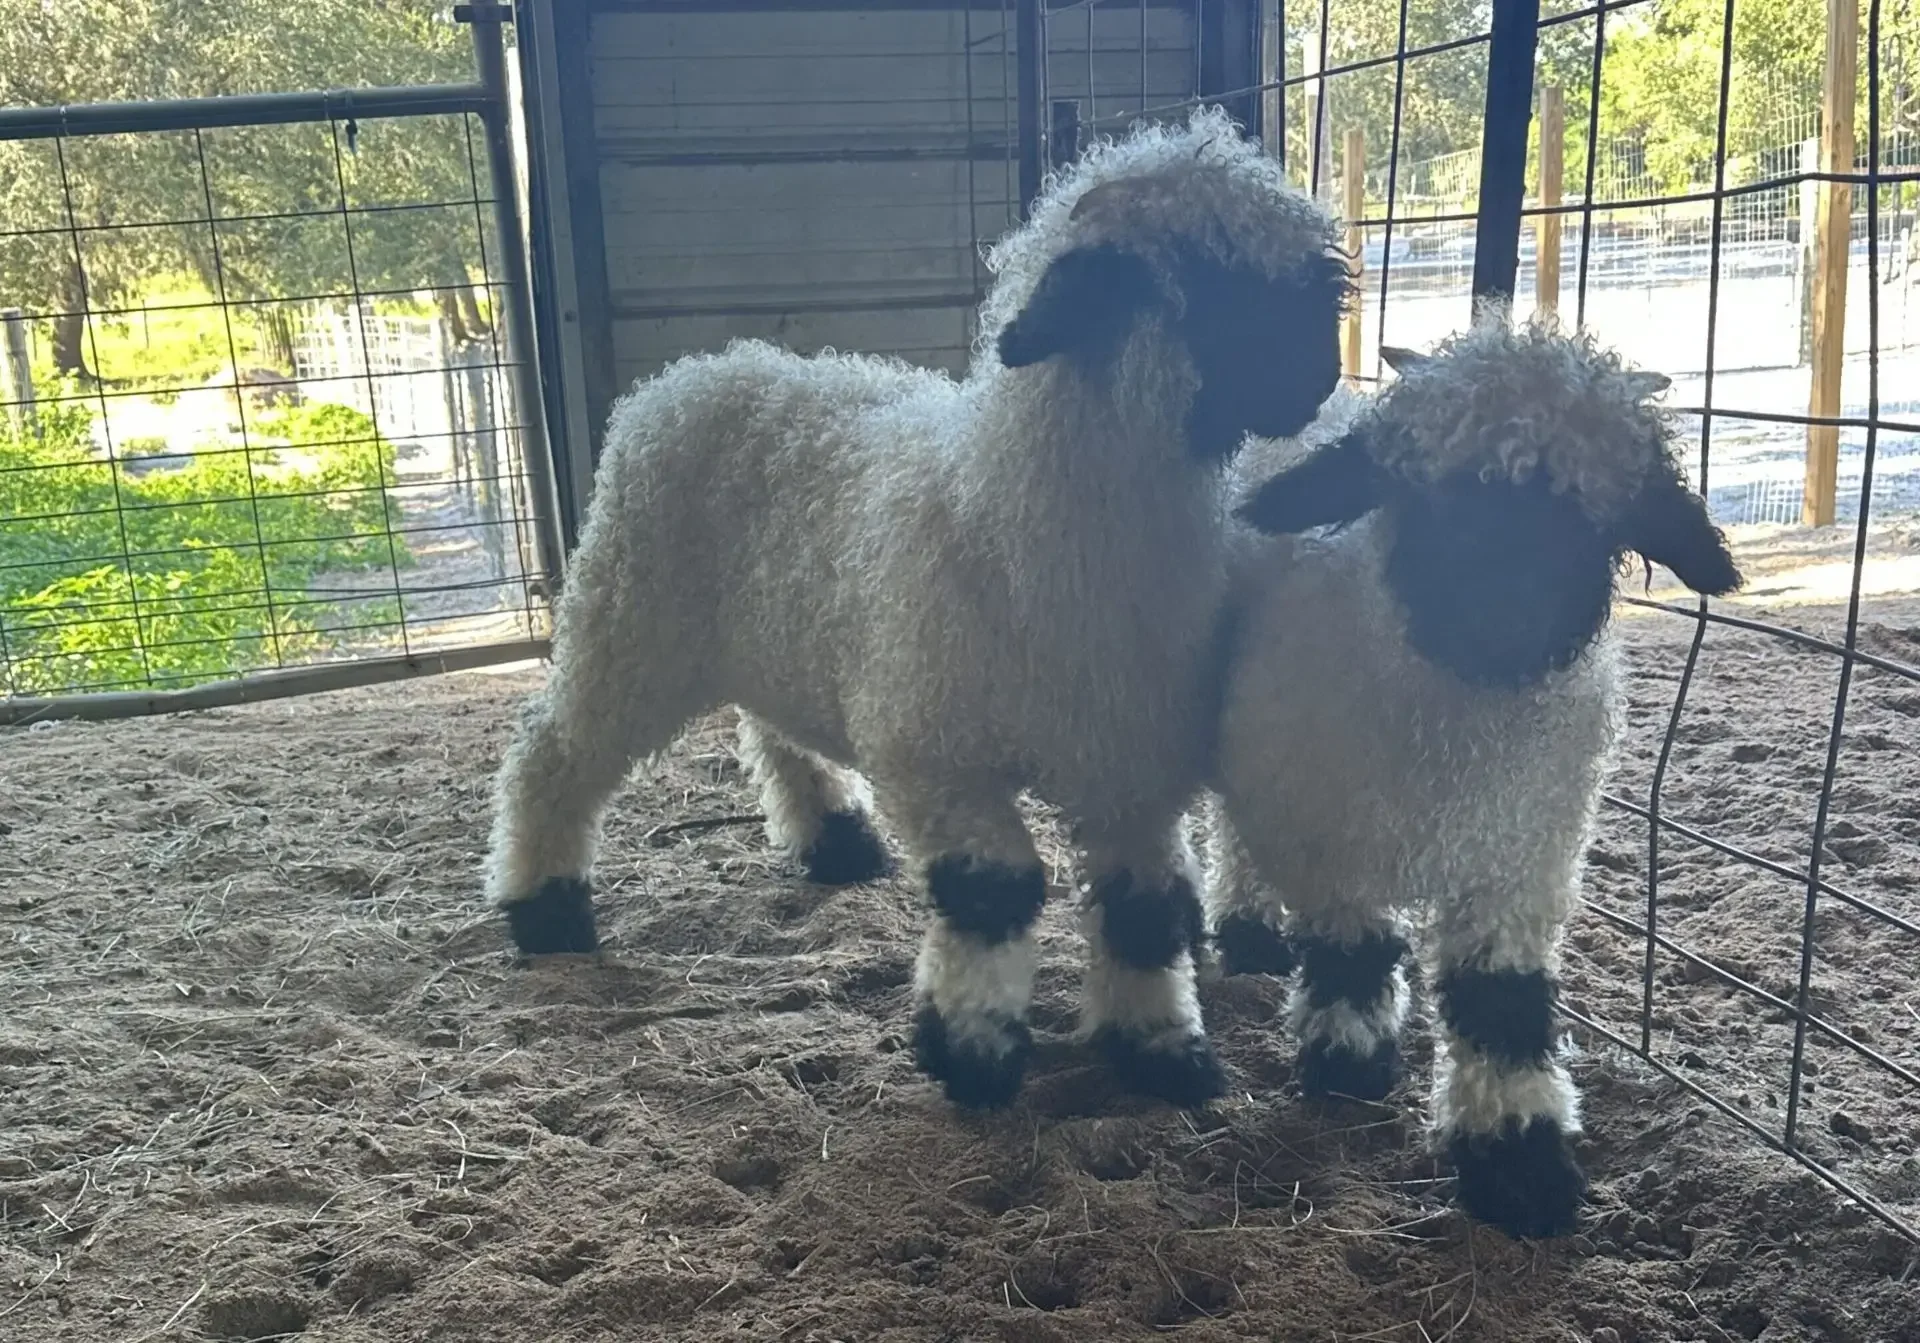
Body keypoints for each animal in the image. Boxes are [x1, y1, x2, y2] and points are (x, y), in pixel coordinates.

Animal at [483, 107, 1351, 1111]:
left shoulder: (1130, 765)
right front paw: (972, 1051)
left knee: (773, 724)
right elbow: (995, 892)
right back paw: (545, 909)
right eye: (1216, 282)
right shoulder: (937, 756)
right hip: (630, 613)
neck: (1017, 513)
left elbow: (1149, 909)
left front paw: (1162, 1052)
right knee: (554, 751)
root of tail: (690, 374)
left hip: (780, 626)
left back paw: (835, 842)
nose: (1324, 378)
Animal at [1204, 312, 1743, 1237]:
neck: (1459, 731)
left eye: (1592, 514)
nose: (1508, 620)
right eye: (1431, 495)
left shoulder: (1521, 861)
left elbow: (1501, 1000)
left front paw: (1518, 1163)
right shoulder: (1328, 829)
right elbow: (1351, 947)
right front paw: (1347, 1059)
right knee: (1228, 828)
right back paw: (1246, 931)